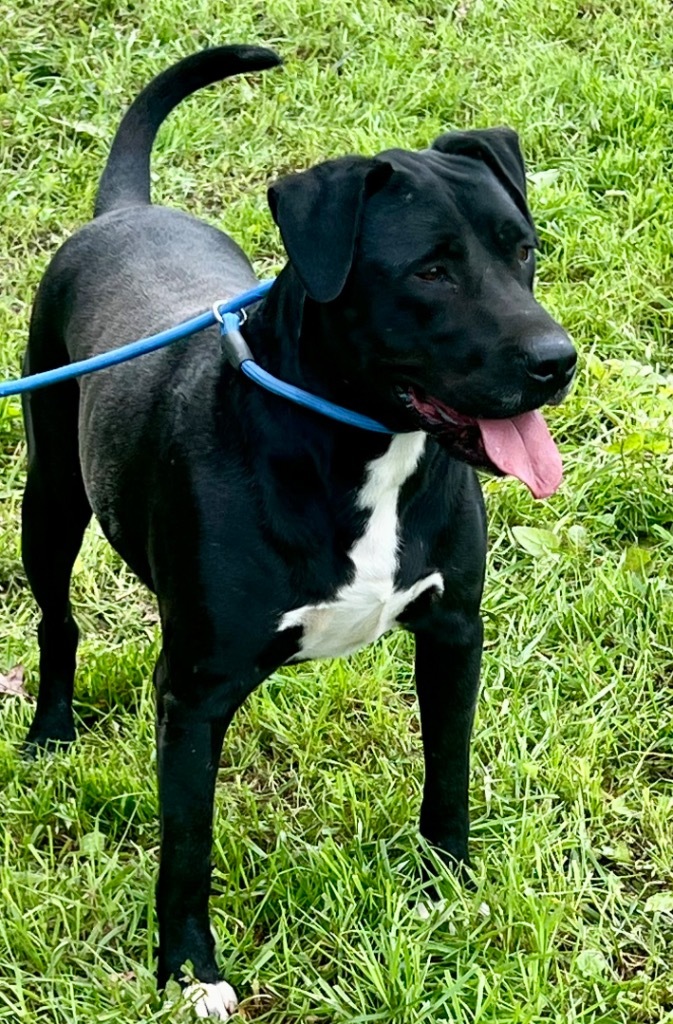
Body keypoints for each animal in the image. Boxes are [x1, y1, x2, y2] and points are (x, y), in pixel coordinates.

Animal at [23, 46, 573, 1015]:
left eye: (522, 250)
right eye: (429, 271)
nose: (557, 361)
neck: (362, 447)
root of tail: (125, 211)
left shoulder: (453, 633)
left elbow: (448, 770)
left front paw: (447, 882)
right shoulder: (195, 689)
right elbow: (186, 845)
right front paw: (189, 972)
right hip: (48, 497)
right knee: (57, 616)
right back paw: (51, 730)